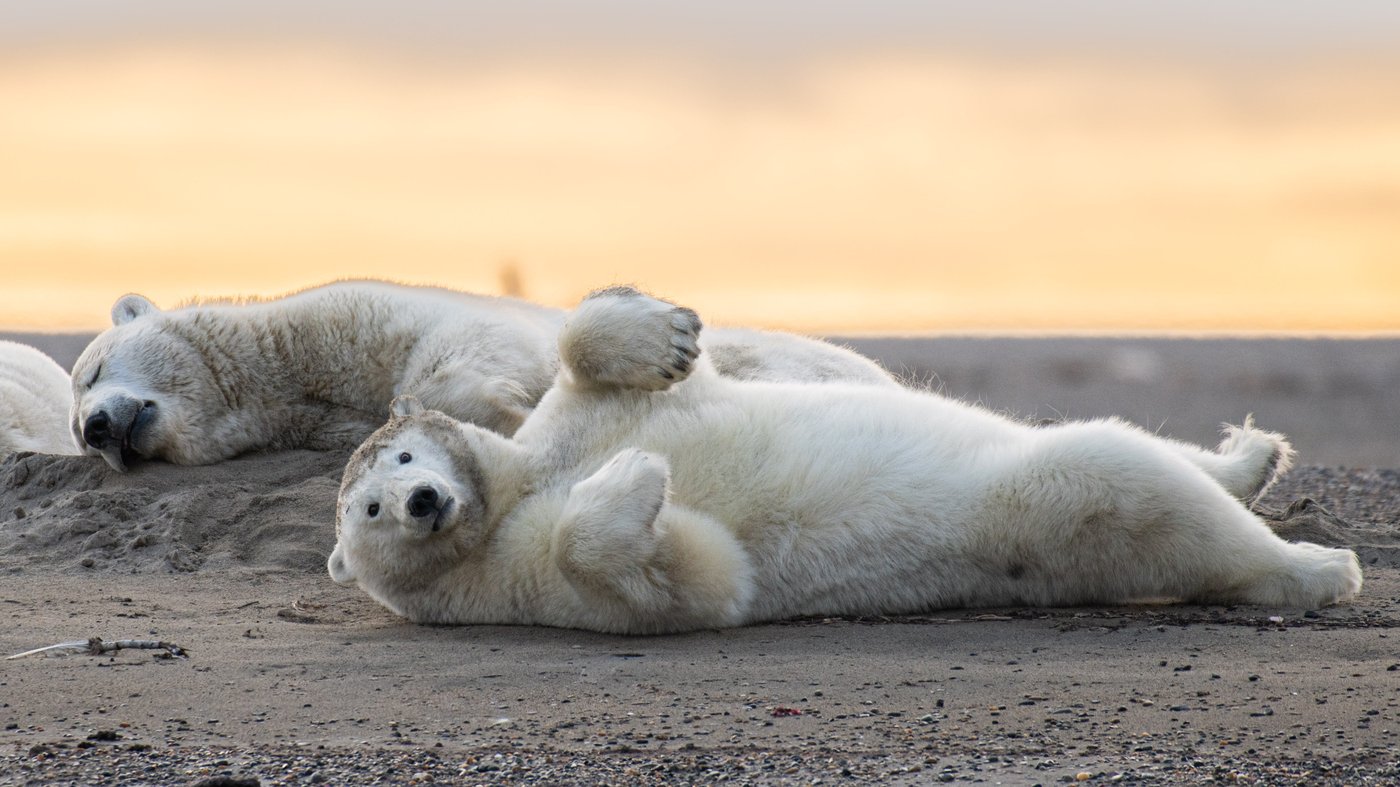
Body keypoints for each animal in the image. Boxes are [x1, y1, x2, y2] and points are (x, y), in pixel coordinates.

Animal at [326, 287, 1358, 634]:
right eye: (366, 509)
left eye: (405, 452)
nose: (420, 501)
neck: (509, 495)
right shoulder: (516, 583)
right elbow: (694, 578)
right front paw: (637, 480)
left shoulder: (569, 422)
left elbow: (595, 358)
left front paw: (667, 333)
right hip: (1048, 520)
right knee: (1120, 479)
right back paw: (1314, 567)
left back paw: (1252, 455)